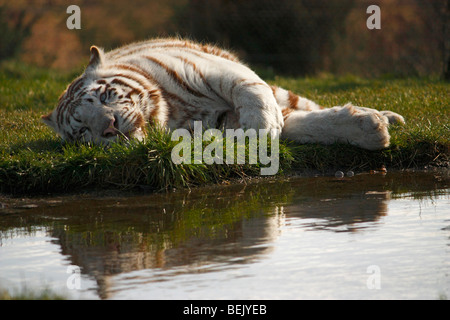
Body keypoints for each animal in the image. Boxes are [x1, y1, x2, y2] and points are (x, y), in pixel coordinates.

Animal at [41, 38, 404, 151]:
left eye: (105, 96)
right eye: (82, 131)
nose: (110, 127)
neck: (172, 113)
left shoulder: (214, 69)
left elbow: (254, 95)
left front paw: (263, 129)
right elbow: (300, 125)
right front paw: (370, 129)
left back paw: (392, 117)